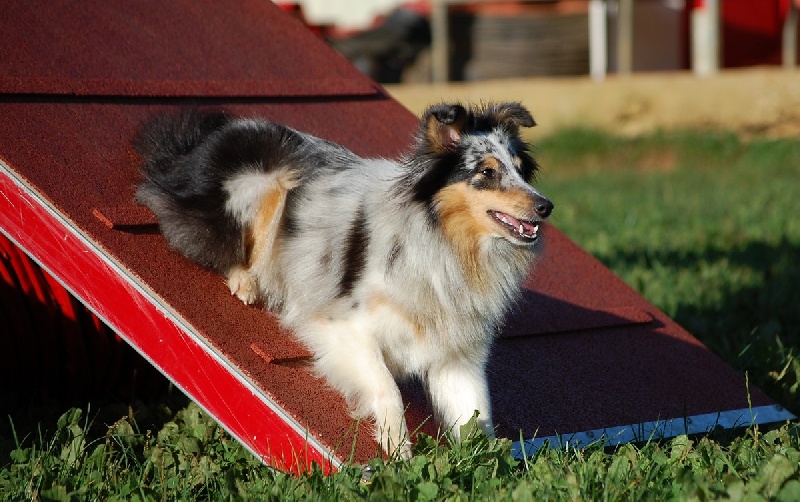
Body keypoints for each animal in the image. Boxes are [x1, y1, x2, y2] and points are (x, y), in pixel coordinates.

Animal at [134, 102, 553, 458]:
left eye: (520, 169)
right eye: (487, 172)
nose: (545, 206)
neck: (449, 246)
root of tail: (198, 145)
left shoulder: (459, 357)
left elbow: (477, 417)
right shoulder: (342, 326)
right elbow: (387, 388)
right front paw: (398, 452)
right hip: (269, 178)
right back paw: (247, 282)